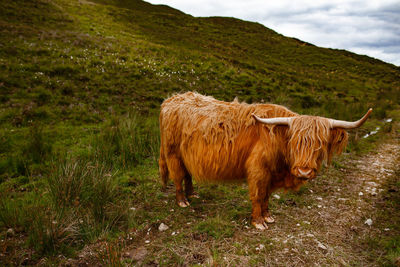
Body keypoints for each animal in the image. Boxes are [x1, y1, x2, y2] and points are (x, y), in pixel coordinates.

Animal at [158, 92, 370, 230]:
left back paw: (192, 194)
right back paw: (182, 200)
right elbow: (258, 195)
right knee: (177, 175)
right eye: (294, 142)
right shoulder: (258, 171)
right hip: (172, 152)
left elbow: (267, 196)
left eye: (321, 144)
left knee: (187, 174)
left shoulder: (271, 174)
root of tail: (171, 99)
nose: (304, 171)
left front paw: (268, 217)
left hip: (186, 154)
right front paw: (258, 221)